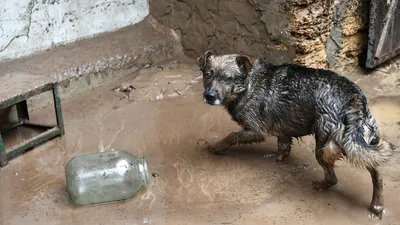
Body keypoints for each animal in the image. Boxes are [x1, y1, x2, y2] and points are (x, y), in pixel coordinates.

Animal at [196, 50, 394, 218]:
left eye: (228, 78)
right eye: (208, 74)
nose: (210, 96)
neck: (248, 84)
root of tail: (353, 98)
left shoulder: (255, 130)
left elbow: (231, 136)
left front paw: (217, 147)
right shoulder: (283, 131)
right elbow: (283, 145)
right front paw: (279, 157)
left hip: (324, 148)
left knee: (333, 178)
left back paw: (321, 185)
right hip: (361, 144)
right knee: (377, 173)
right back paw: (377, 205)